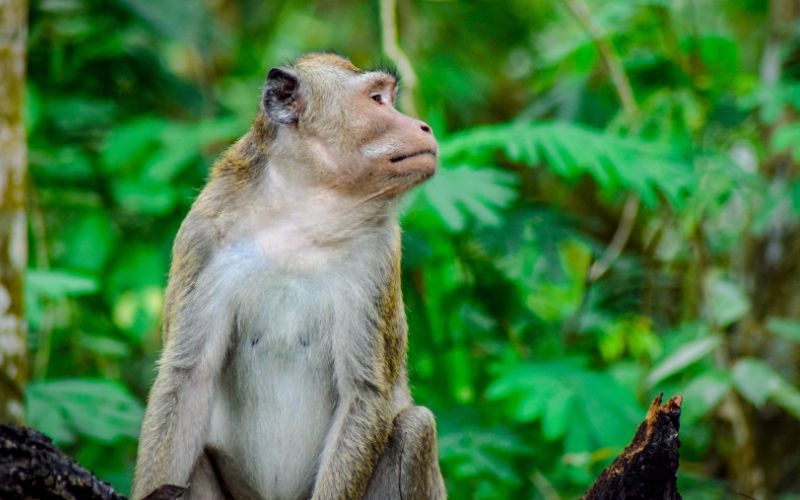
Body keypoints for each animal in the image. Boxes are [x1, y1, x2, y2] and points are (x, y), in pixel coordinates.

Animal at [129, 51, 446, 500]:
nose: (423, 126)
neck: (301, 216)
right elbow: (188, 376)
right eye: (377, 99)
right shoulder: (202, 235)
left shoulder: (380, 252)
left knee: (415, 428)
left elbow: (364, 392)